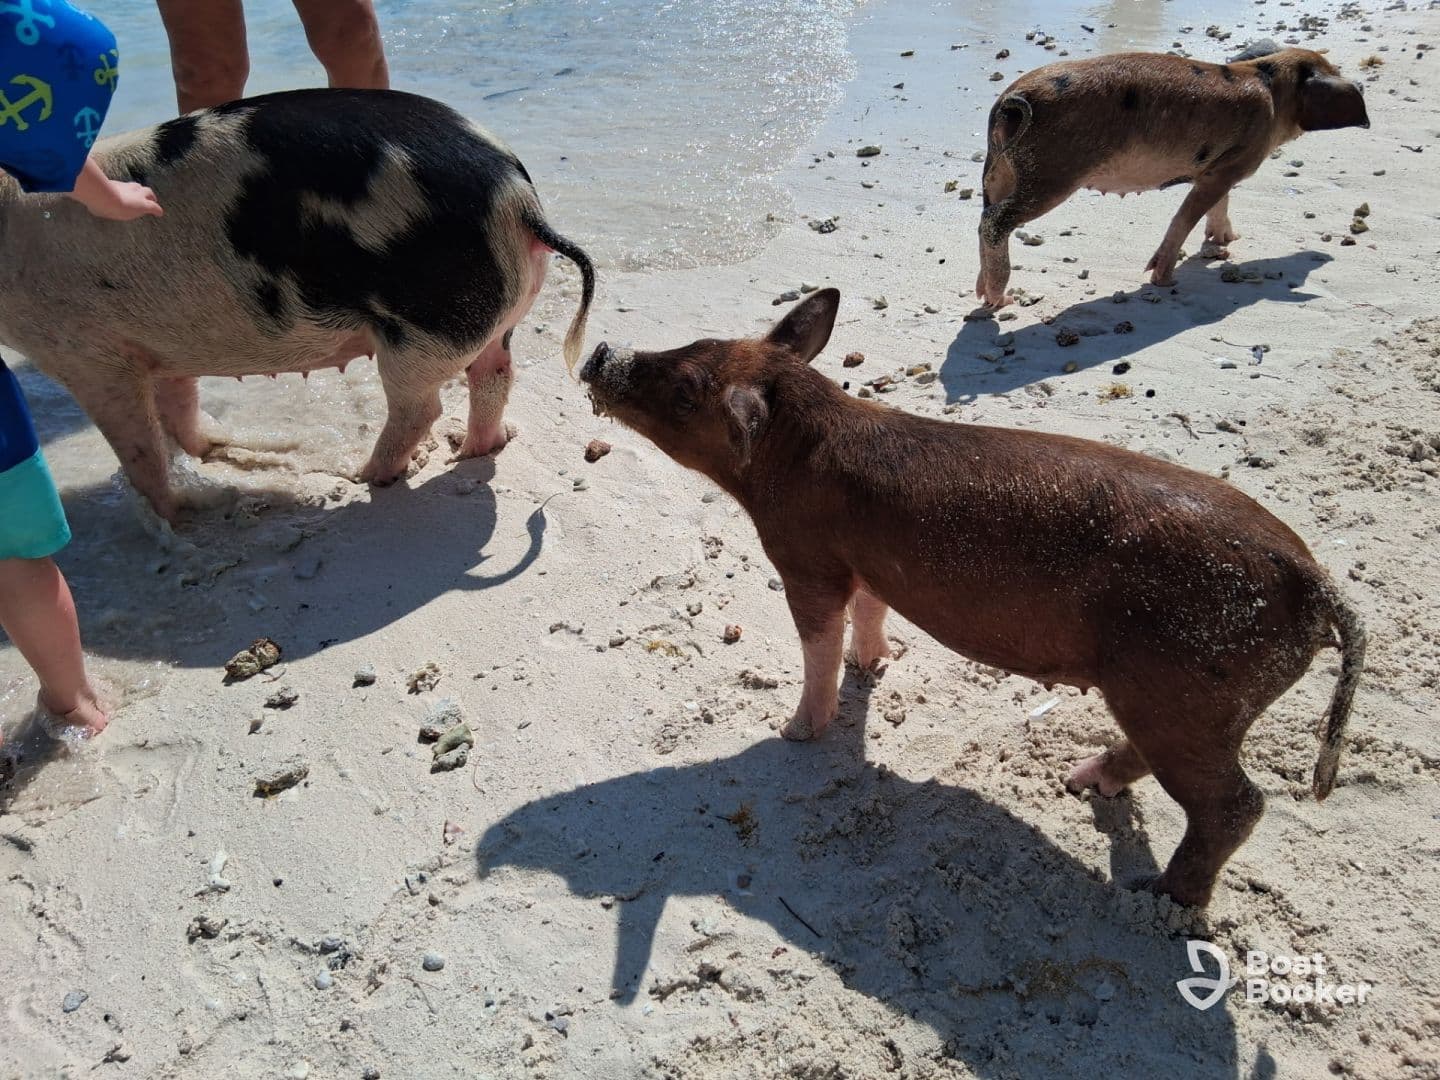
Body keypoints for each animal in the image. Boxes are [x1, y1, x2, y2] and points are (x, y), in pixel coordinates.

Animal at [0, 89, 596, 521]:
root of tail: (517, 198)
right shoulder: (161, 344)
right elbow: (179, 403)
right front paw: (209, 449)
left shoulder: (86, 353)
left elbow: (141, 448)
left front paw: (180, 513)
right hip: (494, 314)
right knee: (494, 376)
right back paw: (472, 450)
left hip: (421, 326)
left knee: (419, 406)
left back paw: (365, 476)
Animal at [578, 289, 1366, 908]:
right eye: (694, 342)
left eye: (687, 389)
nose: (599, 354)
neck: (797, 449)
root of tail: (1316, 582)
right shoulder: (867, 562)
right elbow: (871, 612)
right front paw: (876, 665)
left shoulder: (805, 556)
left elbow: (817, 641)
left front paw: (793, 731)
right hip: (1191, 699)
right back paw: (1081, 784)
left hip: (1188, 684)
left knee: (1238, 804)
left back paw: (1162, 901)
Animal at [976, 43, 1369, 307]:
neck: (1270, 86)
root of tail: (1011, 99)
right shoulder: (1225, 168)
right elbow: (1185, 217)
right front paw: (1164, 281)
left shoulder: (1218, 167)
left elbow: (1220, 204)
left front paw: (1226, 242)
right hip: (1053, 171)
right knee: (995, 221)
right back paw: (1002, 300)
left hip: (999, 171)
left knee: (984, 216)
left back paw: (983, 293)